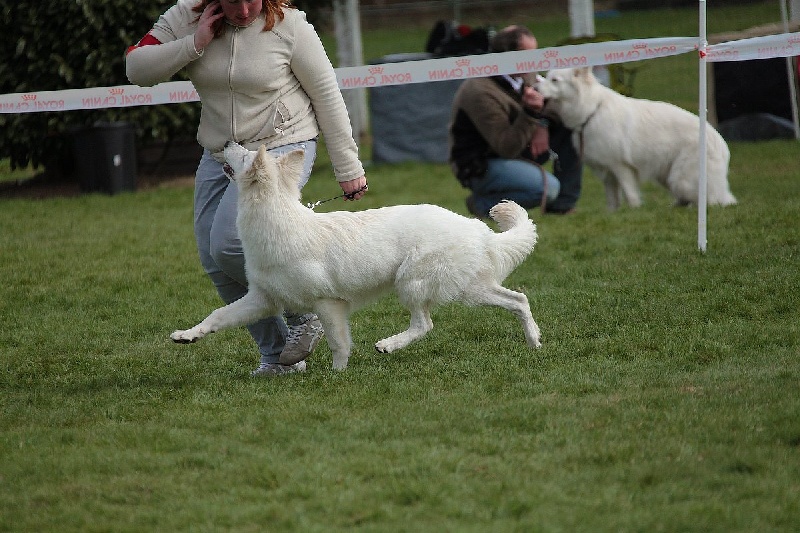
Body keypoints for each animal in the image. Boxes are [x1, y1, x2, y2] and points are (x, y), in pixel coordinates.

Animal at [170, 140, 544, 370]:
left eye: (245, 154)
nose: (225, 143)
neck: (280, 221)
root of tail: (476, 229)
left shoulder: (328, 304)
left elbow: (339, 344)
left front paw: (337, 377)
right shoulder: (263, 299)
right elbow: (218, 315)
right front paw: (187, 335)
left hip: (415, 283)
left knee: (424, 324)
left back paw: (389, 345)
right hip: (468, 288)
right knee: (518, 299)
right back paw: (534, 342)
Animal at [536, 68, 736, 212]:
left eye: (555, 80)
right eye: (546, 77)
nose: (534, 89)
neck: (591, 110)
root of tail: (720, 142)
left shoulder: (620, 166)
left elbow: (630, 193)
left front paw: (634, 210)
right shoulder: (607, 171)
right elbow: (612, 197)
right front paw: (612, 213)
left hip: (681, 179)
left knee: (713, 199)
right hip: (667, 176)